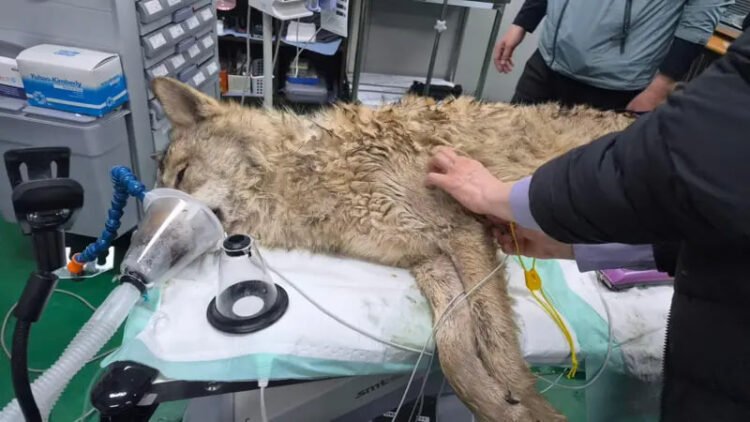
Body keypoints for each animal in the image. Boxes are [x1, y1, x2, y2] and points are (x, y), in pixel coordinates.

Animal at [151, 77, 634, 421]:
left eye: (182, 175)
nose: (144, 262)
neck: (310, 173)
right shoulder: (429, 261)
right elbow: (455, 350)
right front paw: (500, 405)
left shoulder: (463, 231)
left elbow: (495, 342)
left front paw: (531, 406)